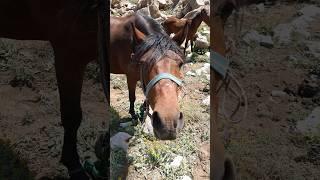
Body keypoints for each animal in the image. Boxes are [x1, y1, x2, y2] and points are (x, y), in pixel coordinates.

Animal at [110, 12, 185, 140]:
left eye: (180, 63)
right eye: (143, 62)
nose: (168, 122)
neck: (133, 45)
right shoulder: (131, 77)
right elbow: (132, 97)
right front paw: (133, 115)